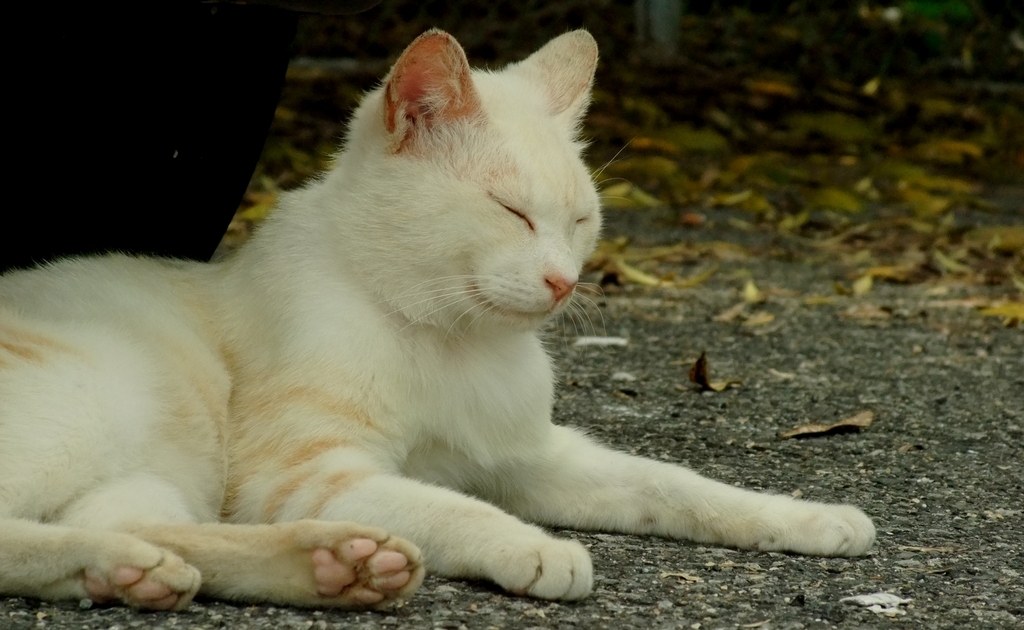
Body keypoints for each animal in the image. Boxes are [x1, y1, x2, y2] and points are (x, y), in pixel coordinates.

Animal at [0, 29, 872, 610]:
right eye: (513, 212)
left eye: (580, 221)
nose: (565, 282)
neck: (451, 339)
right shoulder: (307, 474)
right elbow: (449, 506)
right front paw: (531, 546)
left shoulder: (537, 458)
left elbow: (675, 485)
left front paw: (811, 517)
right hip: (93, 406)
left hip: (153, 473)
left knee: (146, 530)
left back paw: (314, 565)